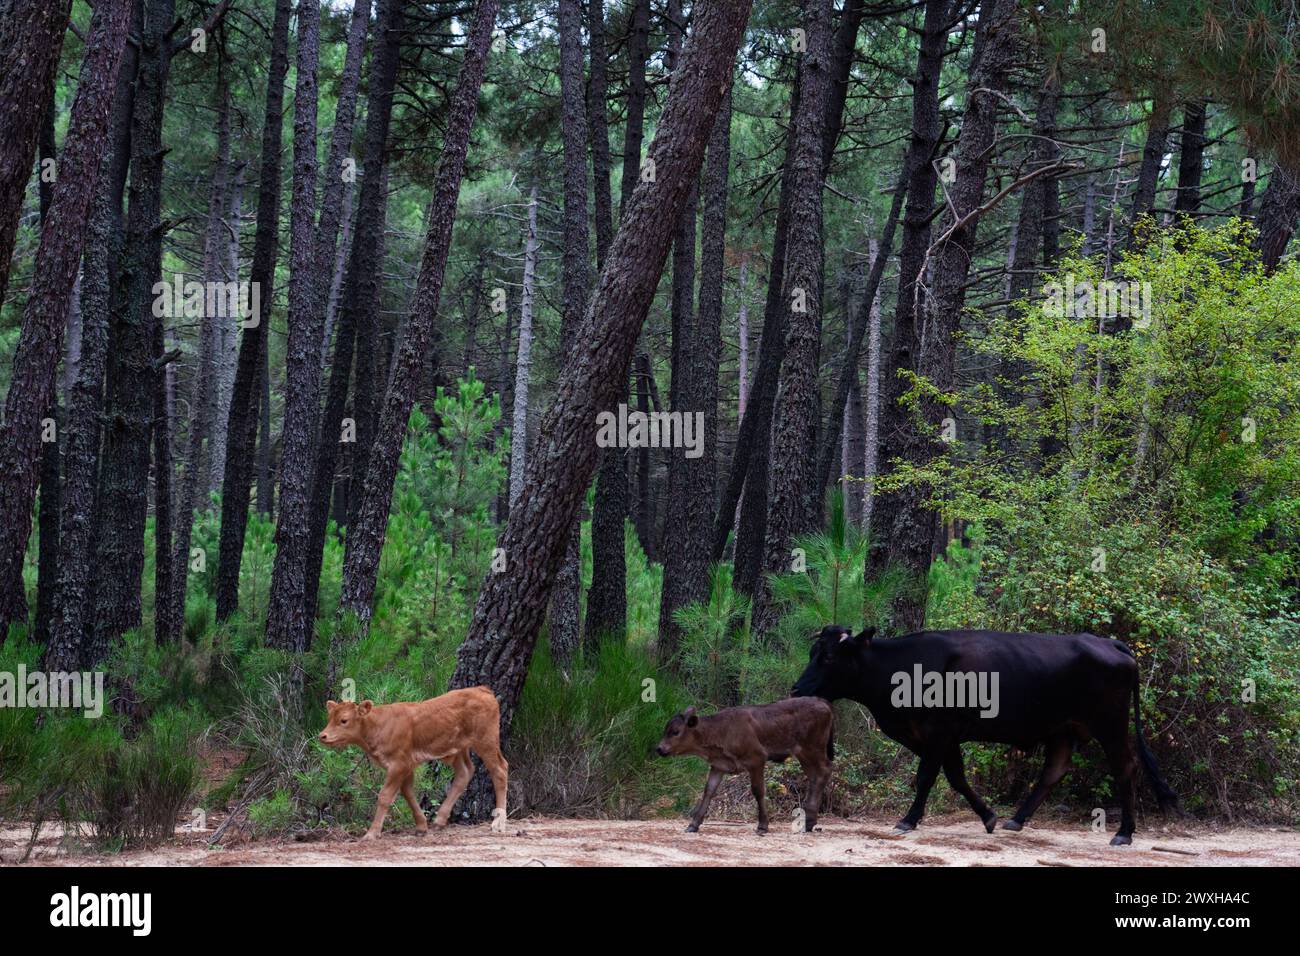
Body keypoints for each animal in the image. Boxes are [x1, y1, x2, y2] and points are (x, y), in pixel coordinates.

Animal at [317, 686, 509, 840]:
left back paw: (498, 823)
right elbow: (408, 793)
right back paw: (439, 820)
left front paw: (371, 833)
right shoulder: (406, 765)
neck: (378, 725)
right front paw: (421, 826)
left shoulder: (398, 764)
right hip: (458, 749)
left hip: (486, 741)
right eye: (329, 718)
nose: (322, 735)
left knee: (500, 769)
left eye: (344, 720)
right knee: (465, 772)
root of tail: (483, 690)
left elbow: (385, 796)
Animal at [655, 697, 834, 833]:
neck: (721, 730)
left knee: (824, 771)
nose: (660, 749)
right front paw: (693, 825)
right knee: (814, 776)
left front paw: (762, 826)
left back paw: (808, 821)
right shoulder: (718, 766)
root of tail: (823, 702)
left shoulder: (757, 759)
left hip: (813, 748)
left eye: (676, 731)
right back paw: (809, 821)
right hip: (803, 754)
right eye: (665, 730)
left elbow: (758, 791)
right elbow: (708, 791)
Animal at [791, 625, 1179, 845]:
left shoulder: (938, 732)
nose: (797, 690)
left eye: (828, 657)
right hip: (1064, 729)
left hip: (1110, 725)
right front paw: (988, 816)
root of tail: (1109, 644)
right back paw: (1016, 820)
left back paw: (1124, 832)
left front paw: (908, 820)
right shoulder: (945, 737)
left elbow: (927, 776)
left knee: (1126, 767)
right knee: (1054, 771)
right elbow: (956, 777)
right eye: (812, 652)